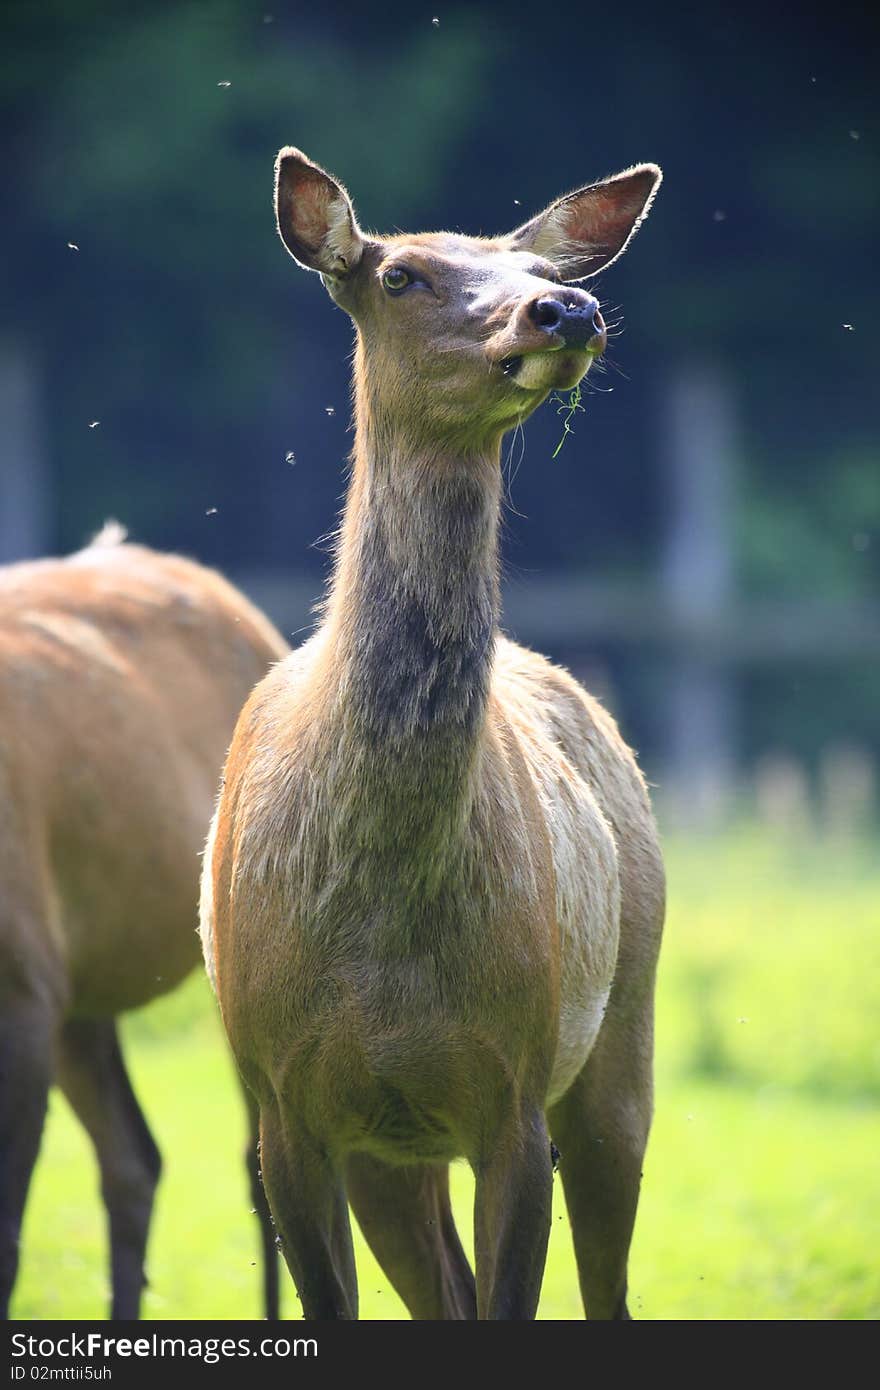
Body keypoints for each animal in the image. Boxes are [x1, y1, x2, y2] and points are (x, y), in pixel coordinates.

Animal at [200, 146, 664, 1317]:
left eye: (538, 265)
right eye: (399, 274)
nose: (567, 308)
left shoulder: (514, 1095)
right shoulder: (287, 1103)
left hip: (620, 1033)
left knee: (606, 1286)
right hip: (393, 1148)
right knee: (440, 1284)